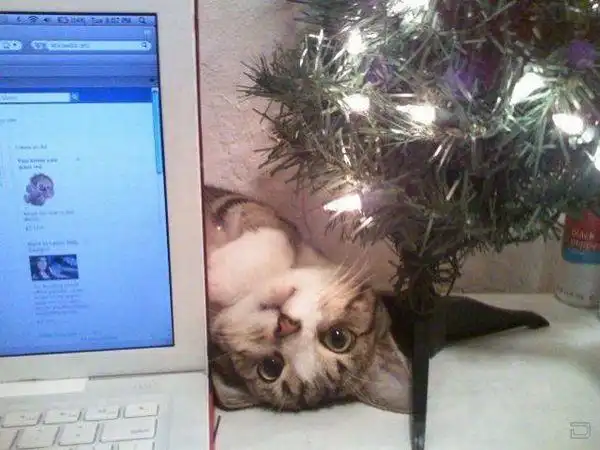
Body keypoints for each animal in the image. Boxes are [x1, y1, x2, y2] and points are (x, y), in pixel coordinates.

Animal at [204, 185, 411, 413]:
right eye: (338, 338)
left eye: (270, 368)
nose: (286, 325)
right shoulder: (243, 205)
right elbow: (274, 233)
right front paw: (218, 273)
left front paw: (215, 278)